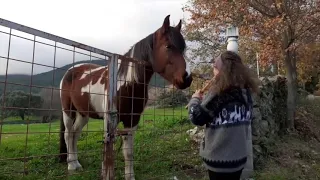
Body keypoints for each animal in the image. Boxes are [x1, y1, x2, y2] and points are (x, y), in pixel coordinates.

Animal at [58, 14, 192, 179]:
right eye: (168, 46)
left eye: (183, 48)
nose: (187, 78)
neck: (126, 84)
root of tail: (70, 71)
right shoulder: (110, 120)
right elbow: (108, 148)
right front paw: (106, 173)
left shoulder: (132, 120)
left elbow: (128, 152)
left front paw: (130, 176)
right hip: (68, 111)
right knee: (68, 134)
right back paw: (71, 164)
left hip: (84, 114)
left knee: (75, 134)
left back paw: (76, 163)